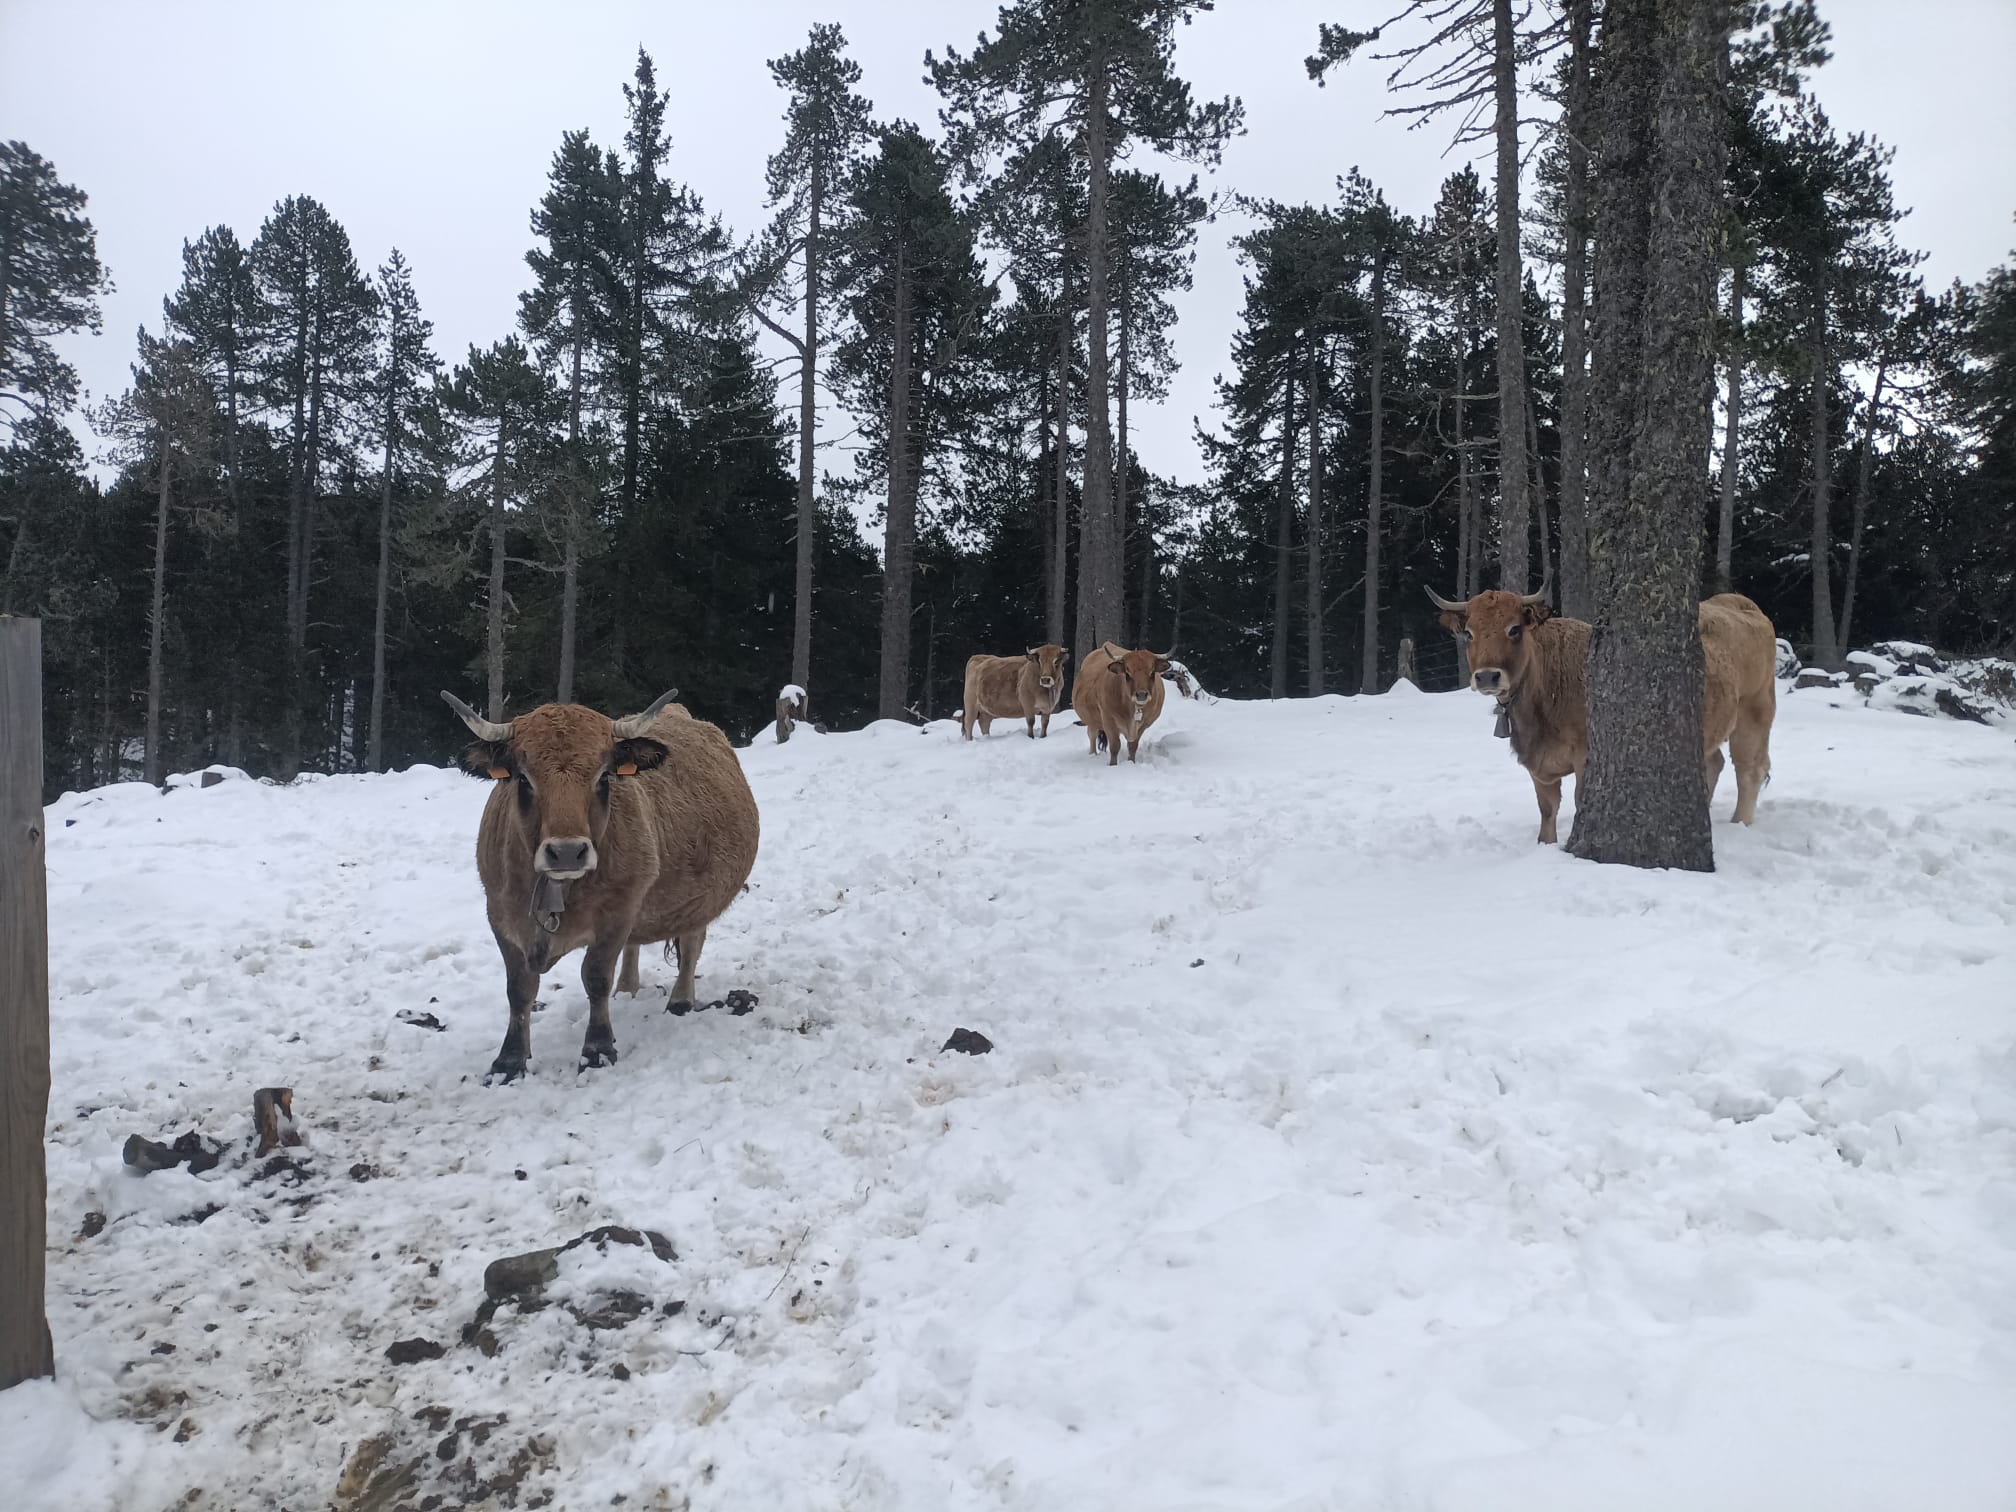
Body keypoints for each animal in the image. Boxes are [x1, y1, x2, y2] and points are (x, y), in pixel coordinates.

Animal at [442, 688, 760, 1081]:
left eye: (604, 776)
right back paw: (627, 988)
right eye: (523, 779)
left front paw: (597, 1049)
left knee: (690, 945)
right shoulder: (500, 916)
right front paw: (510, 1060)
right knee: (637, 947)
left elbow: (595, 977)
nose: (566, 852)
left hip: (697, 901)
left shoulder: (618, 911)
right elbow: (519, 988)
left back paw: (681, 999)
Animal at [1425, 587, 1777, 844]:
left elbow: (1579, 799)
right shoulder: (1538, 765)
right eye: (1469, 633)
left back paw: (1740, 824)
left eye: (1514, 629)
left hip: (1754, 714)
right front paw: (1545, 843)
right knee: (1714, 762)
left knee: (1749, 770)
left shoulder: (1586, 757)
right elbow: (1547, 808)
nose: (1487, 676)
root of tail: (1741, 606)